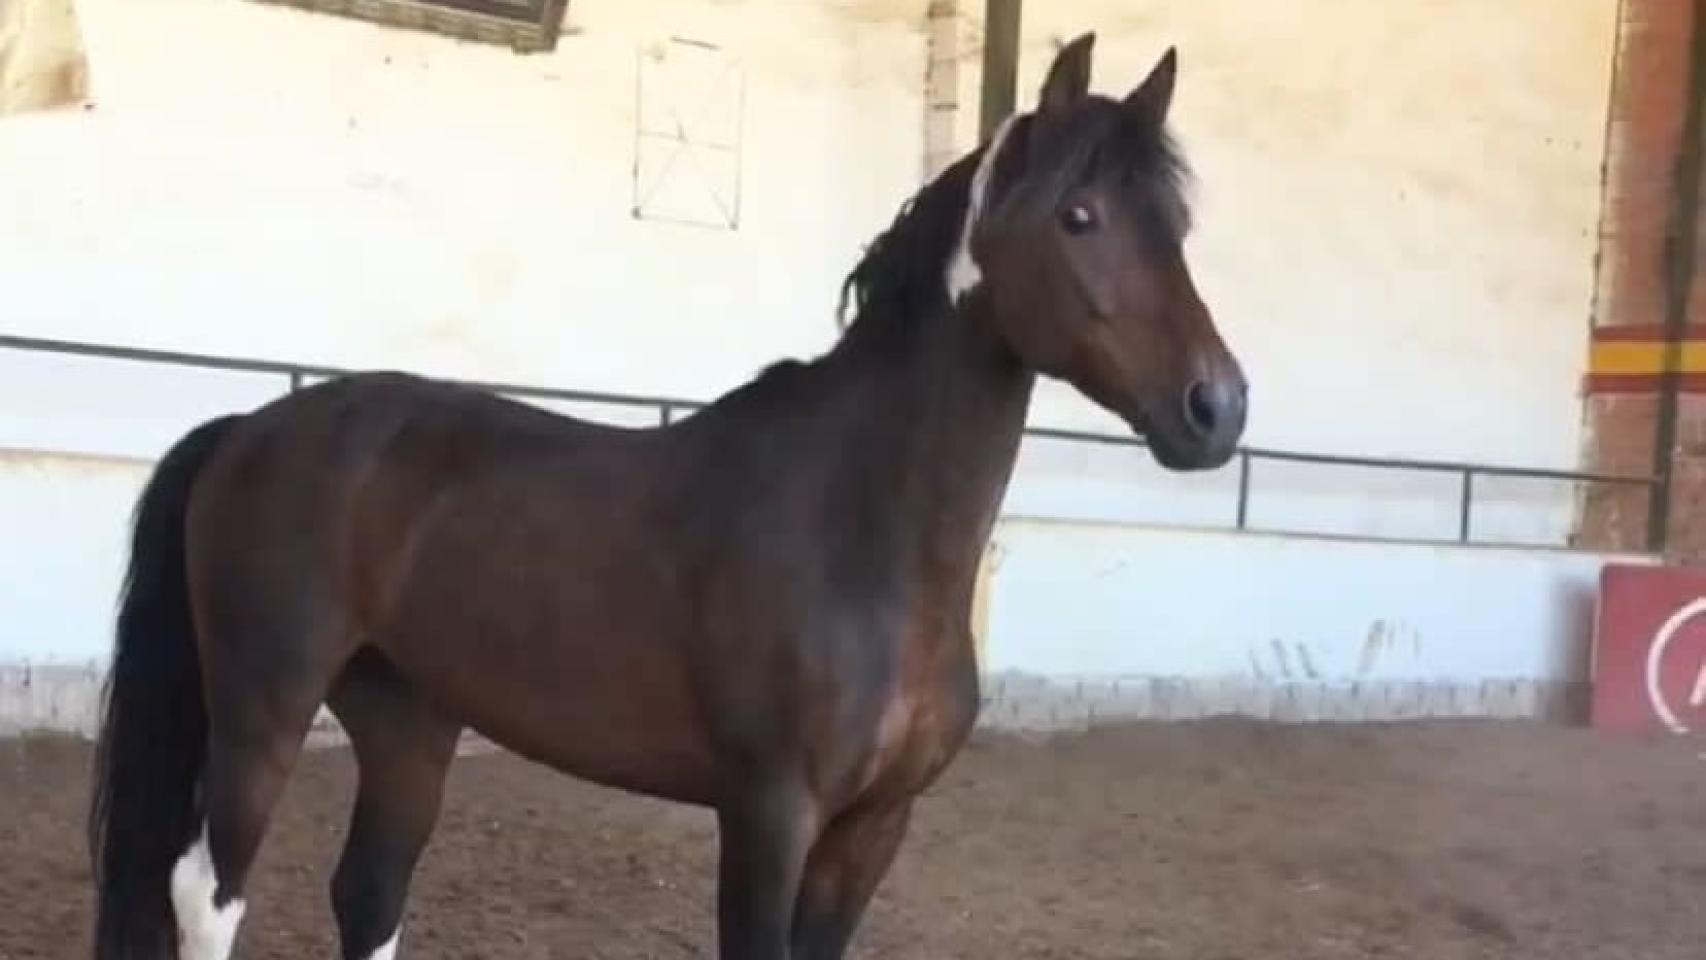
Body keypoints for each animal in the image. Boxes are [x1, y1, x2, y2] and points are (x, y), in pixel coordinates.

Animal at [86, 33, 1246, 960]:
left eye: (1177, 227)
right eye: (1079, 216)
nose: (1217, 407)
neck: (863, 537)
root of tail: (251, 429)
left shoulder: (871, 831)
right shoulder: (768, 814)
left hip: (406, 719)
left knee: (368, 895)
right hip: (263, 706)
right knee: (207, 893)